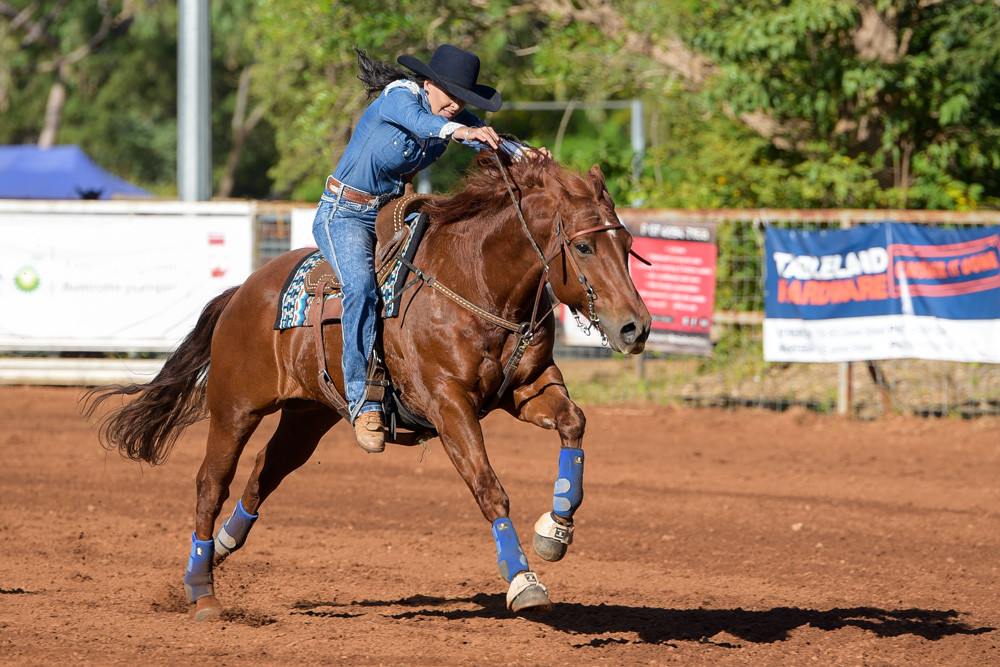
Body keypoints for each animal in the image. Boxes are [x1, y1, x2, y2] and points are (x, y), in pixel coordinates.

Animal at [84, 150, 648, 620]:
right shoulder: (448, 405)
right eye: (583, 245)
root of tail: (242, 290)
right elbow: (490, 488)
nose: (635, 327)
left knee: (264, 473)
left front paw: (556, 531)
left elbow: (574, 423)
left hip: (307, 417)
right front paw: (525, 582)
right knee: (211, 484)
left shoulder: (527, 389)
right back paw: (203, 592)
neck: (475, 281)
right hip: (234, 408)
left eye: (627, 244)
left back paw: (219, 551)